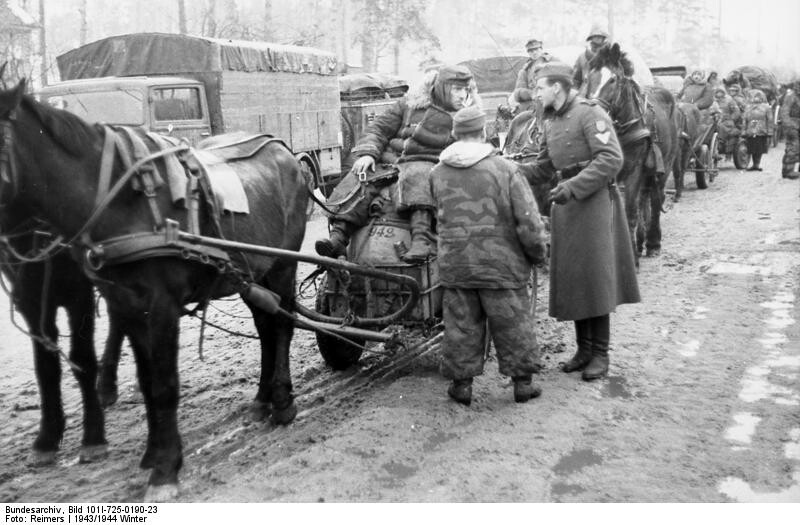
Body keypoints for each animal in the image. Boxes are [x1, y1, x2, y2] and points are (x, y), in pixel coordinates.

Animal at [0, 79, 310, 500]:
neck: (120, 200)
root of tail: (284, 151)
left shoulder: (161, 305)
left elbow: (164, 385)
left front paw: (165, 470)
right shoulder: (125, 304)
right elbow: (146, 382)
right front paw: (152, 452)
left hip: (281, 264)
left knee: (281, 328)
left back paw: (281, 400)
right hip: (249, 273)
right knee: (265, 326)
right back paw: (262, 399)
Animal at [584, 44, 680, 260]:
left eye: (613, 79)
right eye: (588, 77)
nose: (594, 110)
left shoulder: (634, 170)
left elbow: (629, 210)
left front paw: (631, 257)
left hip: (665, 164)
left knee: (655, 199)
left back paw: (652, 242)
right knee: (644, 198)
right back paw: (641, 240)